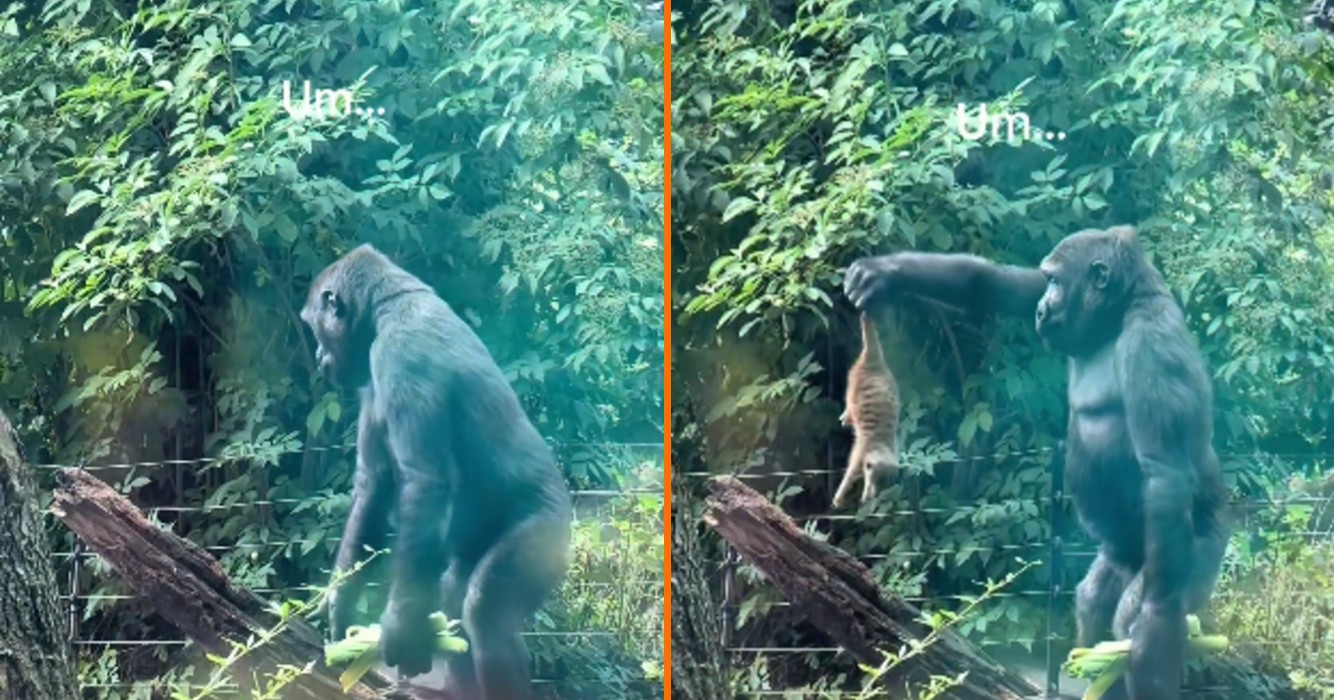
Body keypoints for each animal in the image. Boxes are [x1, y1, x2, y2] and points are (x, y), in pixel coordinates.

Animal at [300, 244, 572, 700]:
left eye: (316, 328)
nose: (319, 358)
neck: (387, 305)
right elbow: (374, 485)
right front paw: (340, 601)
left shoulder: (399, 354)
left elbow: (424, 482)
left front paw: (397, 629)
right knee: (453, 595)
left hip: (548, 535)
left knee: (485, 613)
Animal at [832, 312, 902, 509]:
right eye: (873, 480)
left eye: (882, 485)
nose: (870, 497)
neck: (881, 442)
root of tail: (874, 357)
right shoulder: (860, 451)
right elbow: (850, 473)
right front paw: (839, 497)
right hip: (854, 379)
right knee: (849, 402)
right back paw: (846, 417)